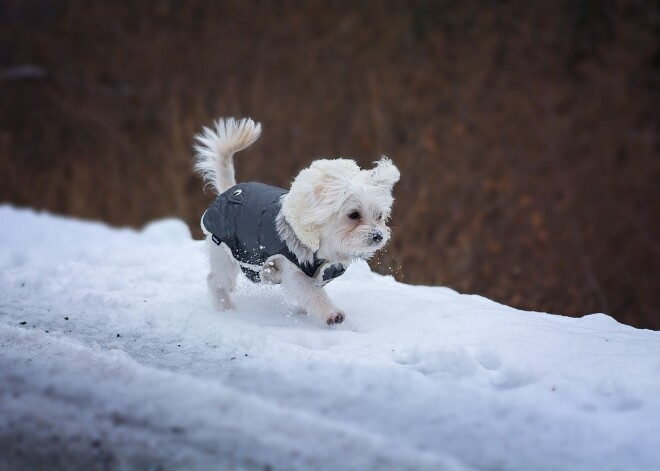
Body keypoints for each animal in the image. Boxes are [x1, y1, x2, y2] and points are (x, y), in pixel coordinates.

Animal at [193, 117, 400, 328]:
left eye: (379, 216)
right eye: (354, 215)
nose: (378, 236)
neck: (325, 246)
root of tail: (229, 190)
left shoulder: (320, 274)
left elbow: (309, 296)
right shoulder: (294, 270)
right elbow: (312, 294)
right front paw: (332, 314)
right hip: (225, 253)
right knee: (215, 281)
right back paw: (225, 307)